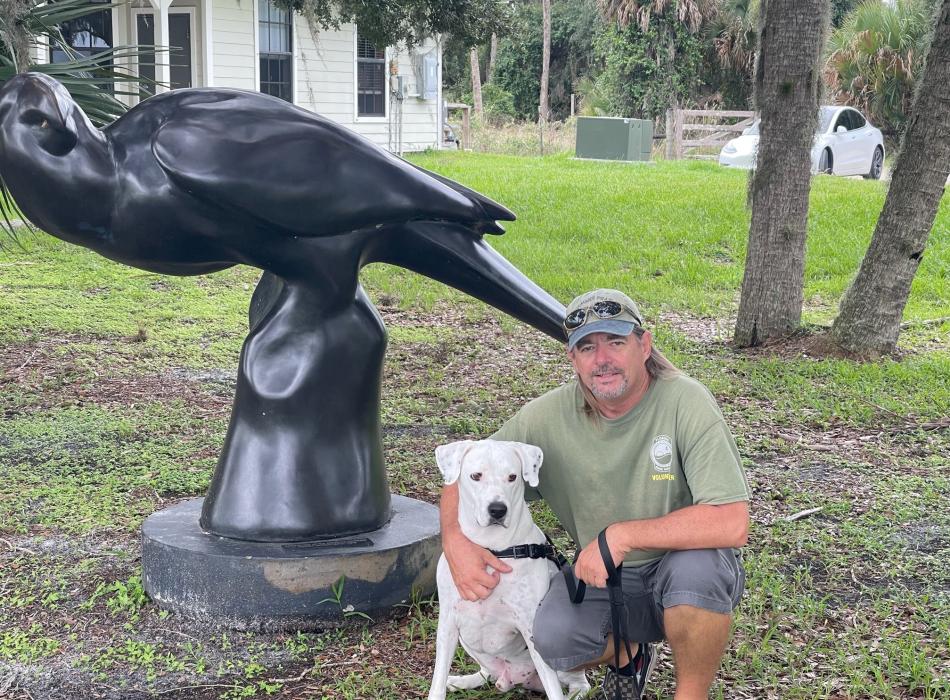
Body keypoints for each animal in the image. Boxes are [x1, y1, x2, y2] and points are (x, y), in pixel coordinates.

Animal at [430, 440, 592, 696]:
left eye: (512, 477)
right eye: (476, 476)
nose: (497, 509)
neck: (492, 549)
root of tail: (512, 679)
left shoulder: (530, 627)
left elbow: (554, 689)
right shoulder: (448, 622)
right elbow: (437, 680)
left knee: (578, 682)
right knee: (485, 673)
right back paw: (462, 681)